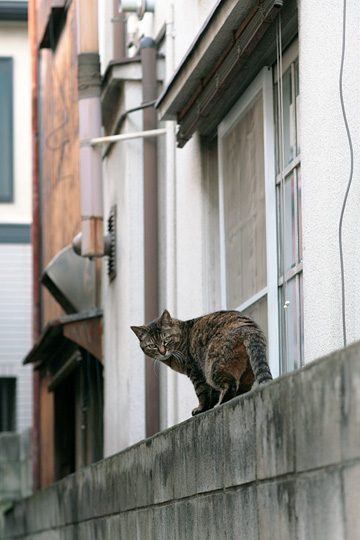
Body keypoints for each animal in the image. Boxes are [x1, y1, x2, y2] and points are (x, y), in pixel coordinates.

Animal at [132, 310, 272, 416]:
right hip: (246, 370)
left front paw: (202, 409)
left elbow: (202, 393)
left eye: (166, 340)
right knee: (243, 386)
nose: (162, 351)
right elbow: (213, 393)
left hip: (212, 366)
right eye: (152, 346)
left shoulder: (196, 372)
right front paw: (209, 406)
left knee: (229, 384)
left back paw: (222, 403)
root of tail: (249, 328)